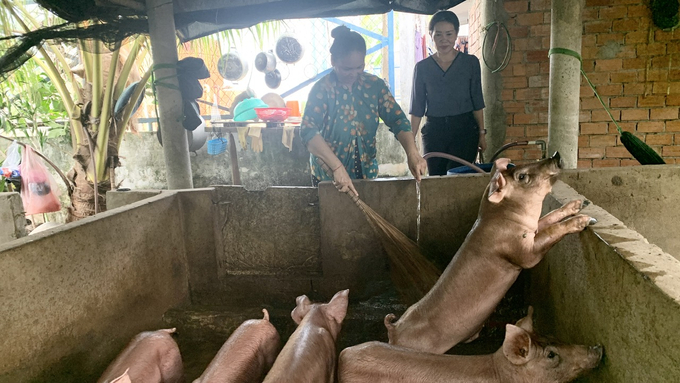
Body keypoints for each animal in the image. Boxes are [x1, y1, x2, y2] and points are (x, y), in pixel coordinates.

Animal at [386, 152, 596, 354]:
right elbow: (546, 237)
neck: (501, 217)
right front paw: (585, 220)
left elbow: (548, 218)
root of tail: (394, 330)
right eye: (522, 176)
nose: (556, 155)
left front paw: (579, 204)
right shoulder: (520, 250)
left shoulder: (533, 228)